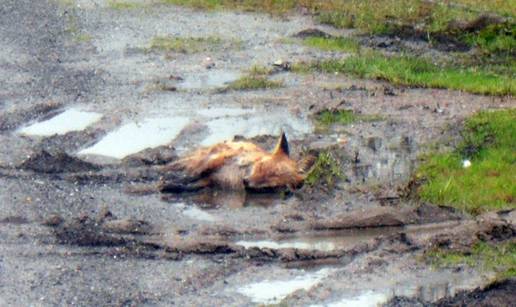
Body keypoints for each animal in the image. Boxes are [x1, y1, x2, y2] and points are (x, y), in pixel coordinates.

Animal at [159, 134, 316, 194]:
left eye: (270, 184)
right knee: (177, 165)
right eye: (261, 167)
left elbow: (189, 185)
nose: (246, 181)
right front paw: (168, 180)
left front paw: (172, 186)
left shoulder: (210, 180)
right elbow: (191, 175)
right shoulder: (218, 161)